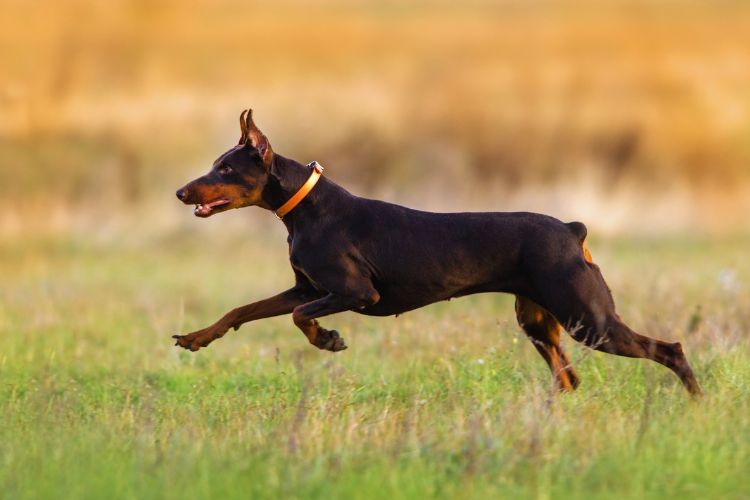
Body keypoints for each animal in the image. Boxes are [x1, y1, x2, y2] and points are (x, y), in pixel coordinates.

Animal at [175, 107, 704, 396]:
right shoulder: (307, 287)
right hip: (539, 320)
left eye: (225, 169)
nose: (180, 192)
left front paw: (329, 340)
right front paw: (197, 338)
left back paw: (698, 405)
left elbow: (299, 317)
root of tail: (573, 231)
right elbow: (245, 309)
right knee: (568, 378)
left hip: (588, 320)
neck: (305, 209)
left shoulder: (354, 292)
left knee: (671, 350)